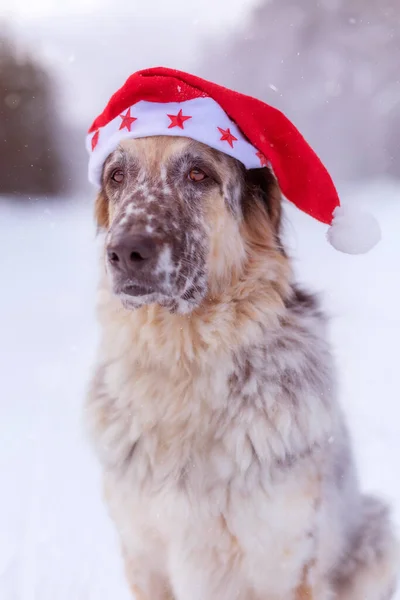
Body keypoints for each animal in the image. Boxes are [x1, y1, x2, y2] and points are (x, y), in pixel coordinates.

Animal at [86, 136, 398, 600]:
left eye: (198, 174)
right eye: (117, 176)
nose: (124, 252)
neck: (186, 360)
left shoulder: (285, 560)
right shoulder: (143, 553)